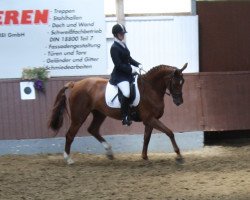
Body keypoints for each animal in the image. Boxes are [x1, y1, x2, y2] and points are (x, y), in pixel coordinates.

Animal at [48, 63, 188, 164]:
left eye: (183, 82)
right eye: (175, 83)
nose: (179, 102)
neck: (150, 89)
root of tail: (75, 83)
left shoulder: (149, 121)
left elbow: (146, 138)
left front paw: (144, 157)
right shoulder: (150, 119)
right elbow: (169, 132)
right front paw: (179, 155)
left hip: (99, 114)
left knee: (93, 129)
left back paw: (109, 152)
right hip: (79, 116)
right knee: (70, 135)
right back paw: (68, 159)